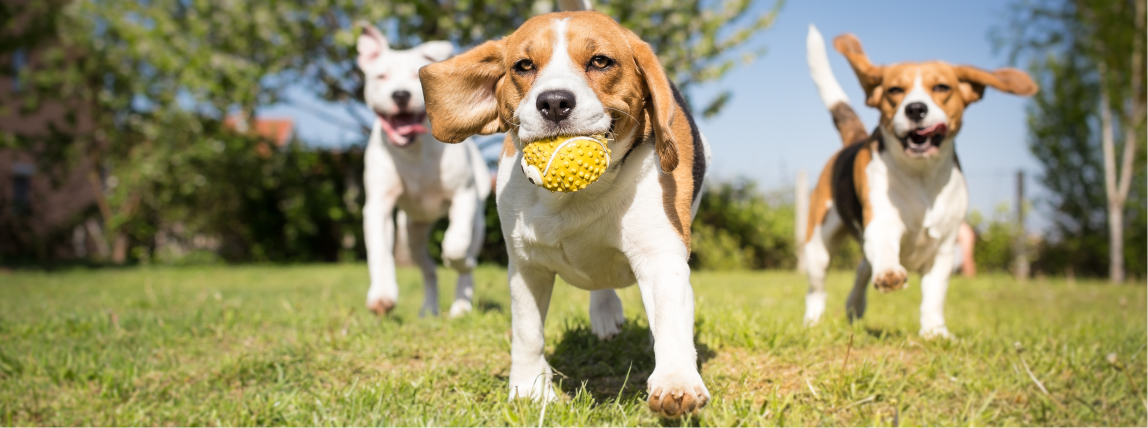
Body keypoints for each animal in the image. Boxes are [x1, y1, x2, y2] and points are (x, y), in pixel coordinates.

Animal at [353, 23, 489, 316]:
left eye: (416, 77)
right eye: (381, 76)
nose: (400, 94)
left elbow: (455, 245)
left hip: (477, 221)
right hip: (411, 233)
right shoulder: (378, 205)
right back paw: (428, 309)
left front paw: (459, 261)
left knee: (465, 258)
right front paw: (382, 296)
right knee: (428, 269)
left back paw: (461, 305)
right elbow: (379, 252)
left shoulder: (463, 196)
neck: (413, 150)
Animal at [420, 12, 707, 417]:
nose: (554, 102)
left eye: (600, 61)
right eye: (524, 66)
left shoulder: (660, 254)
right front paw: (529, 390)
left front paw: (675, 381)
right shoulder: (526, 265)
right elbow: (527, 332)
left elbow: (670, 319)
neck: (575, 198)